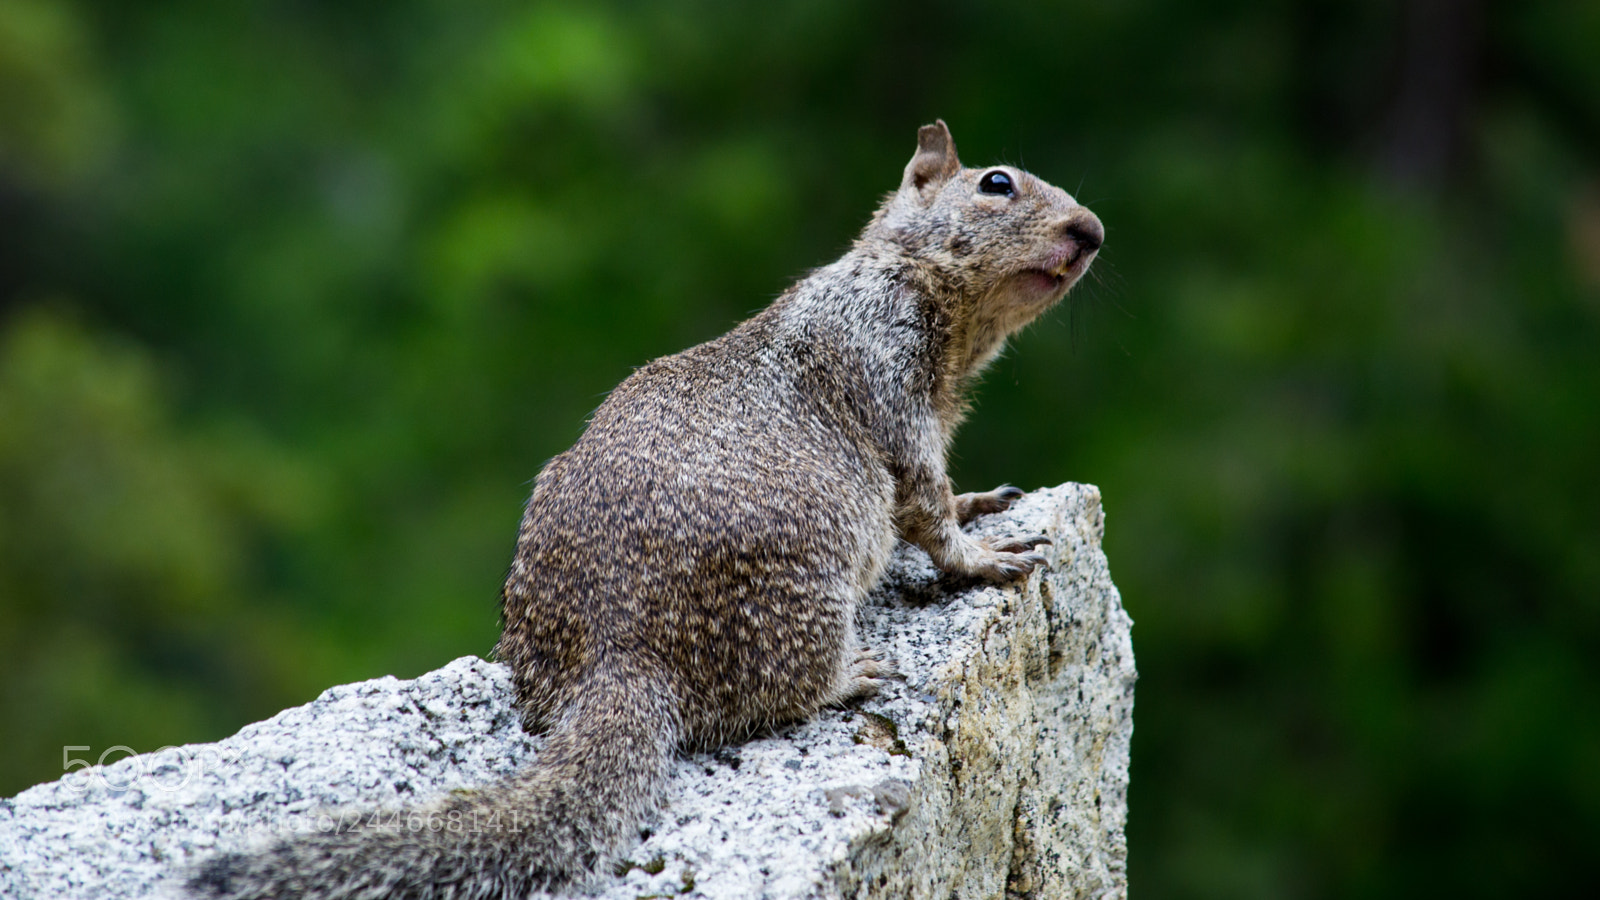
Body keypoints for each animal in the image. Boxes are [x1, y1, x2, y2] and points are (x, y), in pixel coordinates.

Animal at [187, 120, 1102, 899]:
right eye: (996, 183)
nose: (1092, 230)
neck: (932, 303)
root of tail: (619, 656)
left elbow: (943, 496)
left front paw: (982, 500)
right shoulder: (885, 373)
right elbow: (924, 501)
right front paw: (983, 555)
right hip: (806, 579)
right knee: (773, 694)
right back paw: (850, 674)